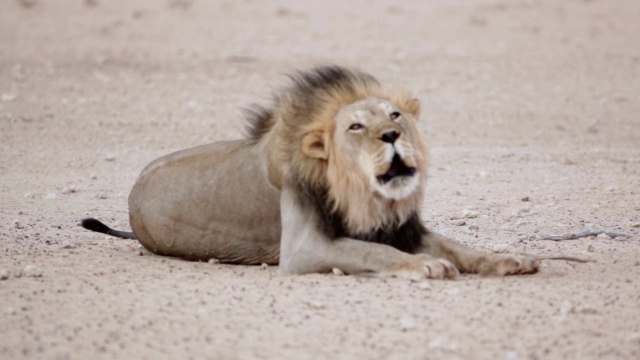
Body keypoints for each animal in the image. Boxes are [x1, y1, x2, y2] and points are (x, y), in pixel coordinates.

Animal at [81, 65, 540, 278]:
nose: (392, 134)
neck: (363, 195)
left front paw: (508, 259)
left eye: (394, 114)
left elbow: (459, 247)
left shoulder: (404, 228)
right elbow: (370, 251)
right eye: (355, 126)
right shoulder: (304, 247)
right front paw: (425, 266)